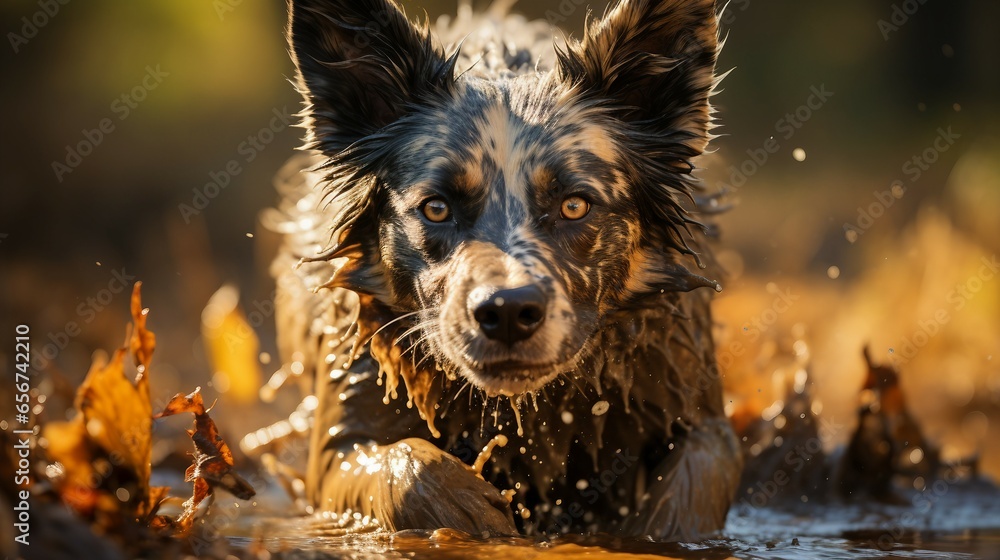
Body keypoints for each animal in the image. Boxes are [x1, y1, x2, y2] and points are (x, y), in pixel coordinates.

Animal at [274, 0, 744, 544]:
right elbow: (407, 471)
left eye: (574, 205)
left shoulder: (686, 391)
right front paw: (473, 518)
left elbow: (693, 480)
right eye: (436, 208)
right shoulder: (344, 426)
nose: (507, 312)